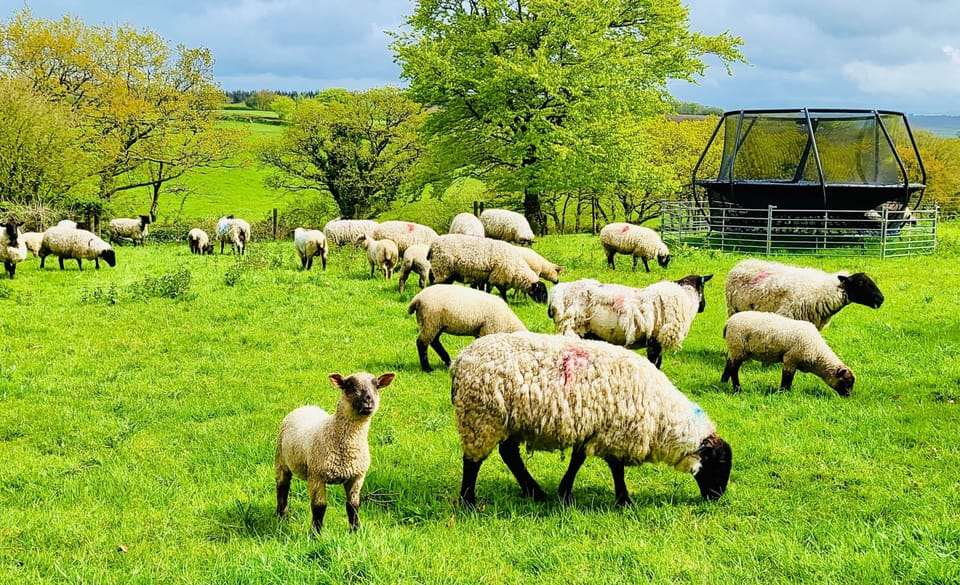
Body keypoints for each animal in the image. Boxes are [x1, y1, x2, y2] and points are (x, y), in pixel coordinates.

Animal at [275, 371, 395, 532]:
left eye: (376, 385)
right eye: (349, 385)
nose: (368, 399)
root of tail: (306, 406)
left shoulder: (357, 477)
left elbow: (353, 506)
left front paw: (355, 531)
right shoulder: (316, 476)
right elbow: (319, 507)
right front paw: (315, 534)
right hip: (281, 460)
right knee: (282, 488)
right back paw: (282, 516)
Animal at [451, 331, 732, 507]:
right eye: (720, 464)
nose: (717, 497)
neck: (662, 416)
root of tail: (460, 360)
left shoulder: (593, 430)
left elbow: (578, 460)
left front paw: (565, 493)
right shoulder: (616, 433)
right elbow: (616, 468)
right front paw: (624, 500)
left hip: (506, 421)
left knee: (509, 454)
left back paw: (535, 493)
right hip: (480, 418)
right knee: (473, 462)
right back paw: (469, 501)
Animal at [548, 274, 713, 369]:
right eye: (703, 287)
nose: (704, 306)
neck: (687, 298)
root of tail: (557, 293)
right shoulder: (654, 341)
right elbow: (655, 364)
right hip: (573, 329)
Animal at [721, 311, 855, 397]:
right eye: (846, 382)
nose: (848, 396)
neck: (817, 353)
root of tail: (728, 322)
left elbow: (790, 378)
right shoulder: (790, 358)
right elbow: (787, 378)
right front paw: (783, 393)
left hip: (735, 349)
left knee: (729, 364)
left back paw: (723, 381)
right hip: (737, 346)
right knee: (734, 369)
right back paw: (737, 389)